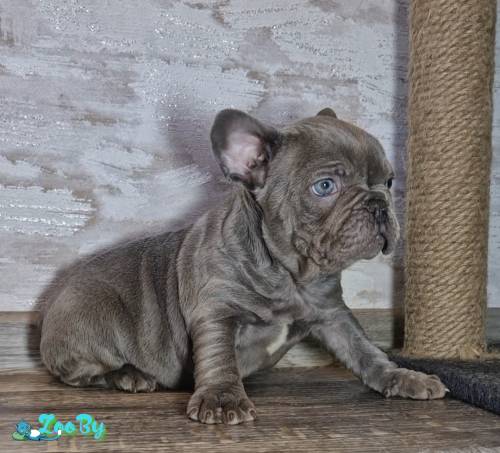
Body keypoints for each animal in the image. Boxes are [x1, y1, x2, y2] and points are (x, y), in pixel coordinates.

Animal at [38, 108, 446, 425]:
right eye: (325, 186)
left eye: (389, 182)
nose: (379, 203)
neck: (291, 275)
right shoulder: (217, 310)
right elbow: (218, 355)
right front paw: (222, 399)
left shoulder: (333, 314)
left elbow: (364, 350)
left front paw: (402, 376)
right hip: (91, 315)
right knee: (77, 373)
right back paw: (128, 375)